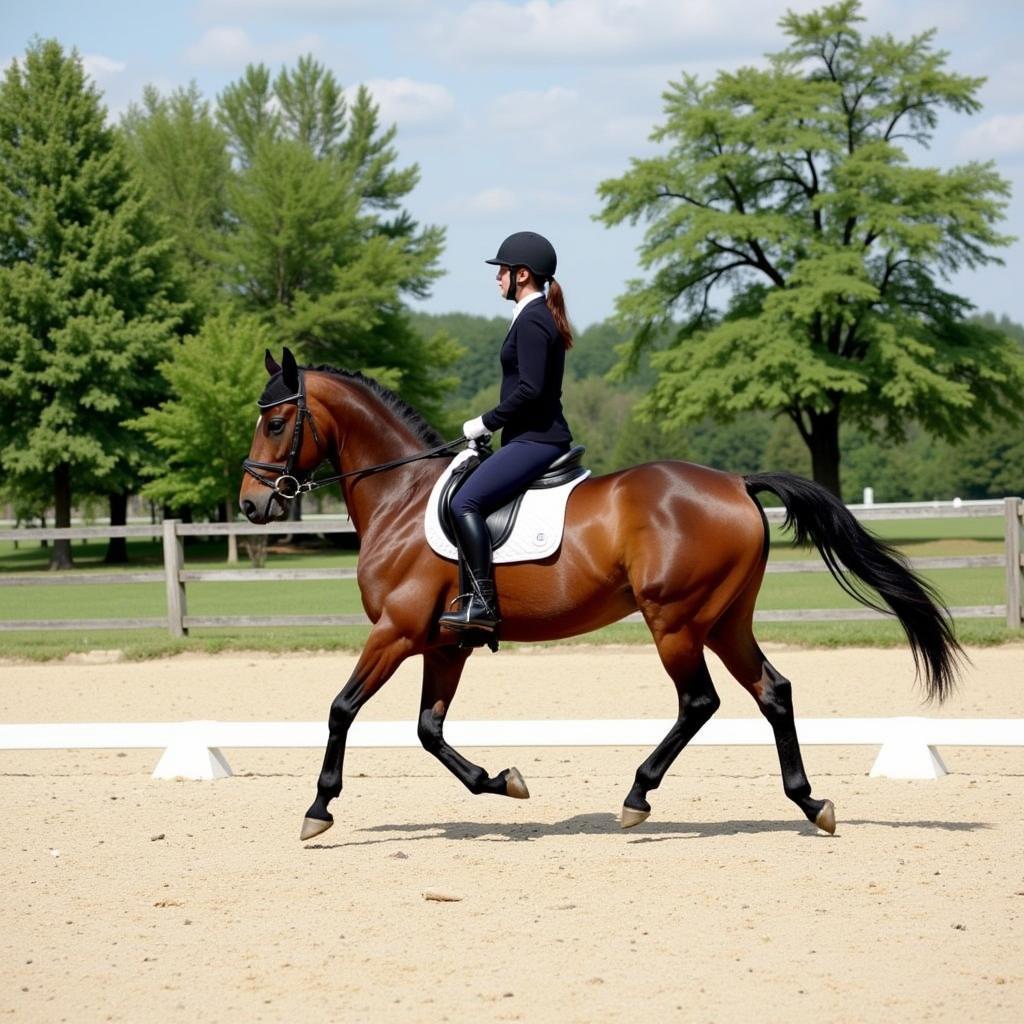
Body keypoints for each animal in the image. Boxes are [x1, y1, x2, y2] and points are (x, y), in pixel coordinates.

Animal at [237, 348, 958, 843]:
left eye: (276, 422)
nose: (250, 505)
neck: (404, 497)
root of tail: (735, 481)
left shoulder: (397, 631)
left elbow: (341, 709)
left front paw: (318, 808)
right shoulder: (444, 644)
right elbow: (428, 730)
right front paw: (502, 782)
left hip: (676, 621)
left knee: (699, 701)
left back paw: (639, 797)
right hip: (725, 620)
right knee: (772, 692)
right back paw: (810, 803)